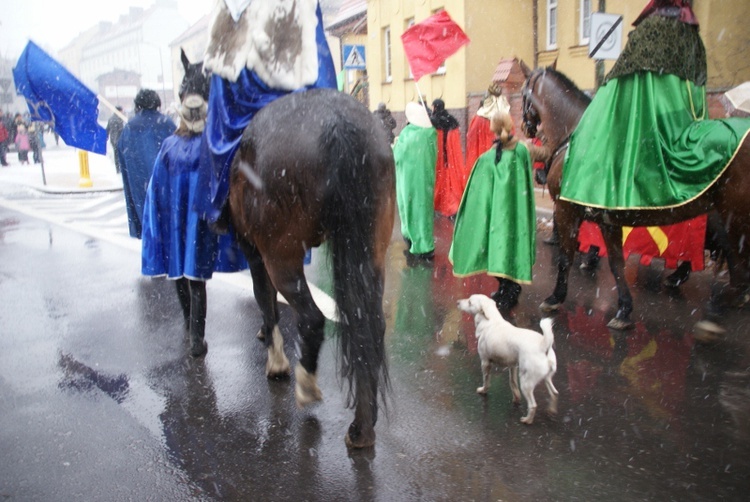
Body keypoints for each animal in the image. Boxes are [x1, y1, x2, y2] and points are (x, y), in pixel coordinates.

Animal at [229, 88, 396, 450]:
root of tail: (338, 122)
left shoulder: (254, 252)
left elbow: (264, 298)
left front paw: (275, 359)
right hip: (371, 256)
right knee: (370, 327)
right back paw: (363, 426)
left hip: (281, 257)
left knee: (312, 317)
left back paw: (305, 384)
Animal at [458, 294, 560, 424]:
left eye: (470, 302)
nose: (457, 302)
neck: (491, 320)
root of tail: (544, 345)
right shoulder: (513, 365)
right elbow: (513, 383)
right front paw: (516, 398)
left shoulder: (485, 362)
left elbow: (486, 380)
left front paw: (483, 390)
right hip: (547, 378)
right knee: (554, 393)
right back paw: (551, 410)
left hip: (526, 383)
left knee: (533, 405)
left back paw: (527, 420)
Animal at [524, 62, 750, 330]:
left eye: (524, 92)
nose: (526, 128)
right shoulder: (607, 221)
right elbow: (616, 263)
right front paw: (624, 309)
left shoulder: (566, 210)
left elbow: (566, 257)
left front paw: (555, 297)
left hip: (732, 220)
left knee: (737, 268)